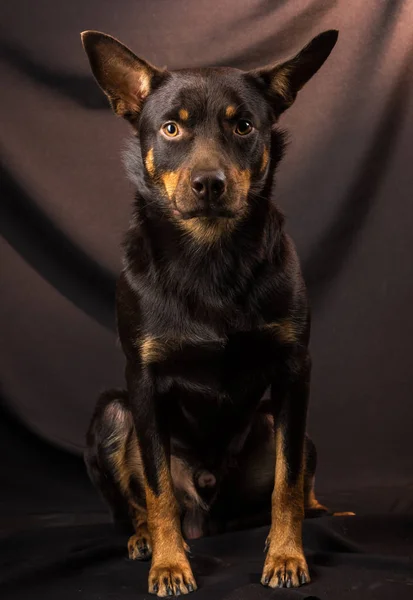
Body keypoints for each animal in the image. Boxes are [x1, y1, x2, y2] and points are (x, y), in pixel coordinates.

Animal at [80, 29, 338, 596]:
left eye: (243, 126)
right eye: (171, 128)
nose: (209, 183)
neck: (209, 253)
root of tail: (209, 513)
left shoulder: (295, 368)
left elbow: (286, 484)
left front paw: (286, 556)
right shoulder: (142, 379)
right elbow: (157, 491)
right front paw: (169, 564)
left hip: (286, 426)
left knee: (297, 478)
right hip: (111, 413)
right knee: (140, 504)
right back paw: (144, 540)